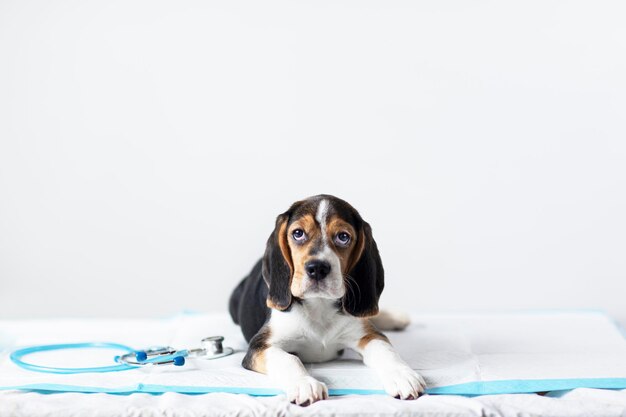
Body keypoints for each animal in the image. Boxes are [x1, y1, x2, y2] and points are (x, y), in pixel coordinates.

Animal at [229, 194, 424, 404]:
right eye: (298, 233)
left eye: (343, 237)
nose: (317, 268)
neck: (319, 304)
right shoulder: (260, 346)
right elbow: (288, 359)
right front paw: (304, 383)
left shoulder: (368, 335)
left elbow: (385, 350)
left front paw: (402, 375)